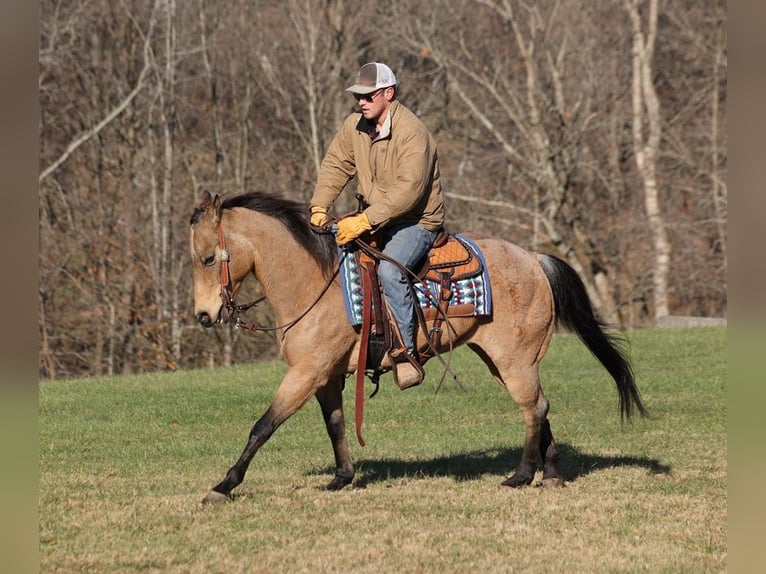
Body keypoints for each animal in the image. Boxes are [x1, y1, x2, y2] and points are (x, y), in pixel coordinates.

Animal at [190, 190, 648, 504]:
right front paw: (342, 476)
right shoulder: (327, 376)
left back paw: (521, 474)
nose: (203, 316)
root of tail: (535, 259)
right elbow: (336, 424)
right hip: (504, 361)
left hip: (515, 360)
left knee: (533, 407)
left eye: (208, 258)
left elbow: (262, 426)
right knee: (540, 405)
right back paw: (550, 472)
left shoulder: (306, 373)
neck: (314, 282)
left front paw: (223, 485)